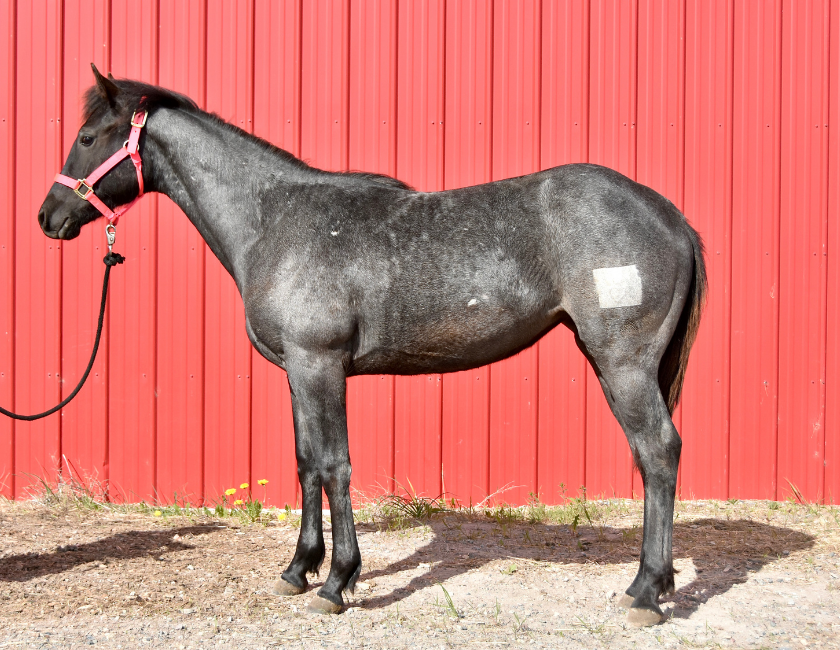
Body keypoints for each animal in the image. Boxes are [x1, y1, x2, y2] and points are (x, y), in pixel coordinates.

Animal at [38, 65, 706, 627]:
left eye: (89, 136)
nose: (49, 216)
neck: (274, 220)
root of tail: (671, 216)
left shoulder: (320, 365)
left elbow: (335, 465)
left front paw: (337, 582)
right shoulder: (297, 373)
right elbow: (306, 462)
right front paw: (297, 570)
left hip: (623, 364)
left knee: (658, 453)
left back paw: (646, 592)